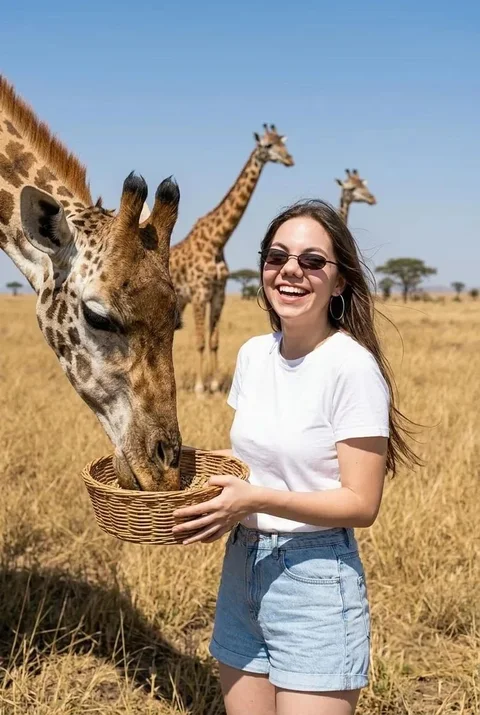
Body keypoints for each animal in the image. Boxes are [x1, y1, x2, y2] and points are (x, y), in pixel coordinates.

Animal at [169, 124, 294, 394]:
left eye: (283, 144)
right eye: (268, 145)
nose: (289, 159)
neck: (218, 241)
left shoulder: (218, 294)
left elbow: (214, 340)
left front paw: (214, 385)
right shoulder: (200, 293)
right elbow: (199, 341)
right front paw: (199, 387)